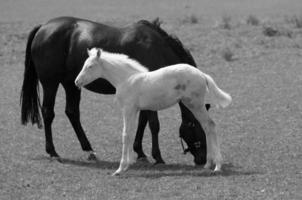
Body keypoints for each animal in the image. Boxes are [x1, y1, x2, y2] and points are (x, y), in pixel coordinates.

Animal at [20, 16, 210, 166]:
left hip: (71, 84)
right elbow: (154, 125)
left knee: (72, 112)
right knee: (48, 113)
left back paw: (89, 150)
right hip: (50, 84)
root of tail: (43, 27)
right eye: (200, 129)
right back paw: (53, 152)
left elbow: (142, 122)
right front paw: (158, 156)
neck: (157, 49)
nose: (202, 160)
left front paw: (140, 152)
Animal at [75, 47, 231, 176]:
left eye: (90, 66)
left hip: (195, 104)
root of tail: (202, 74)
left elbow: (125, 135)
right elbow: (130, 133)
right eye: (83, 65)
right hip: (194, 105)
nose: (77, 82)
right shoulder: (134, 110)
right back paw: (208, 164)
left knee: (210, 125)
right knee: (206, 127)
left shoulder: (128, 109)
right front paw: (128, 164)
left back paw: (217, 166)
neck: (126, 79)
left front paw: (120, 169)